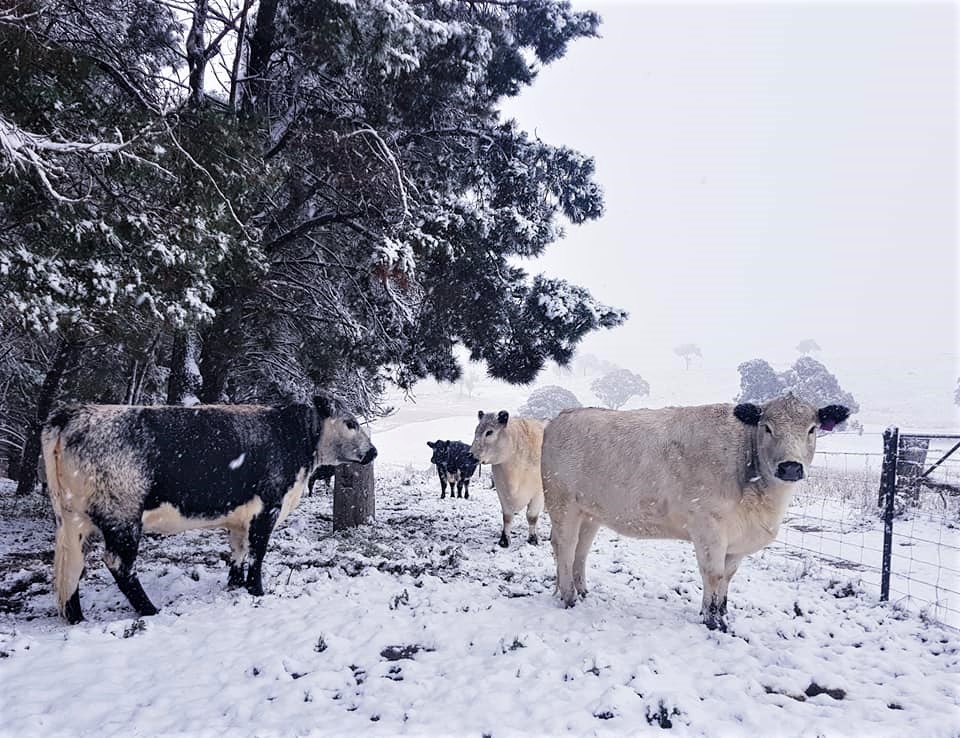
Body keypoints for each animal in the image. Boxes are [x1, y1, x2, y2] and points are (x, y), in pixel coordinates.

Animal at [42, 395, 376, 623]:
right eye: (350, 422)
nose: (373, 451)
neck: (293, 438)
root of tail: (73, 413)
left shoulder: (240, 518)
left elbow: (239, 551)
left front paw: (235, 585)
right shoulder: (268, 507)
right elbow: (257, 552)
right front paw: (257, 590)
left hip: (73, 521)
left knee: (72, 567)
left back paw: (76, 618)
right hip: (122, 517)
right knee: (118, 564)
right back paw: (151, 610)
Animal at [471, 410, 546, 547]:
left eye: (489, 432)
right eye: (476, 431)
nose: (470, 455)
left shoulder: (538, 494)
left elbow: (532, 517)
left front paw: (533, 539)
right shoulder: (502, 491)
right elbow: (507, 517)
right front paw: (504, 540)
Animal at [541, 394, 849, 631]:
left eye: (812, 428)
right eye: (767, 427)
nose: (790, 467)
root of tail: (562, 416)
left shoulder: (736, 541)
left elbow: (727, 577)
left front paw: (722, 615)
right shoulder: (708, 528)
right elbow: (713, 574)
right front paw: (712, 621)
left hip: (589, 513)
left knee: (580, 551)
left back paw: (582, 592)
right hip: (562, 504)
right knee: (564, 547)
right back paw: (569, 597)